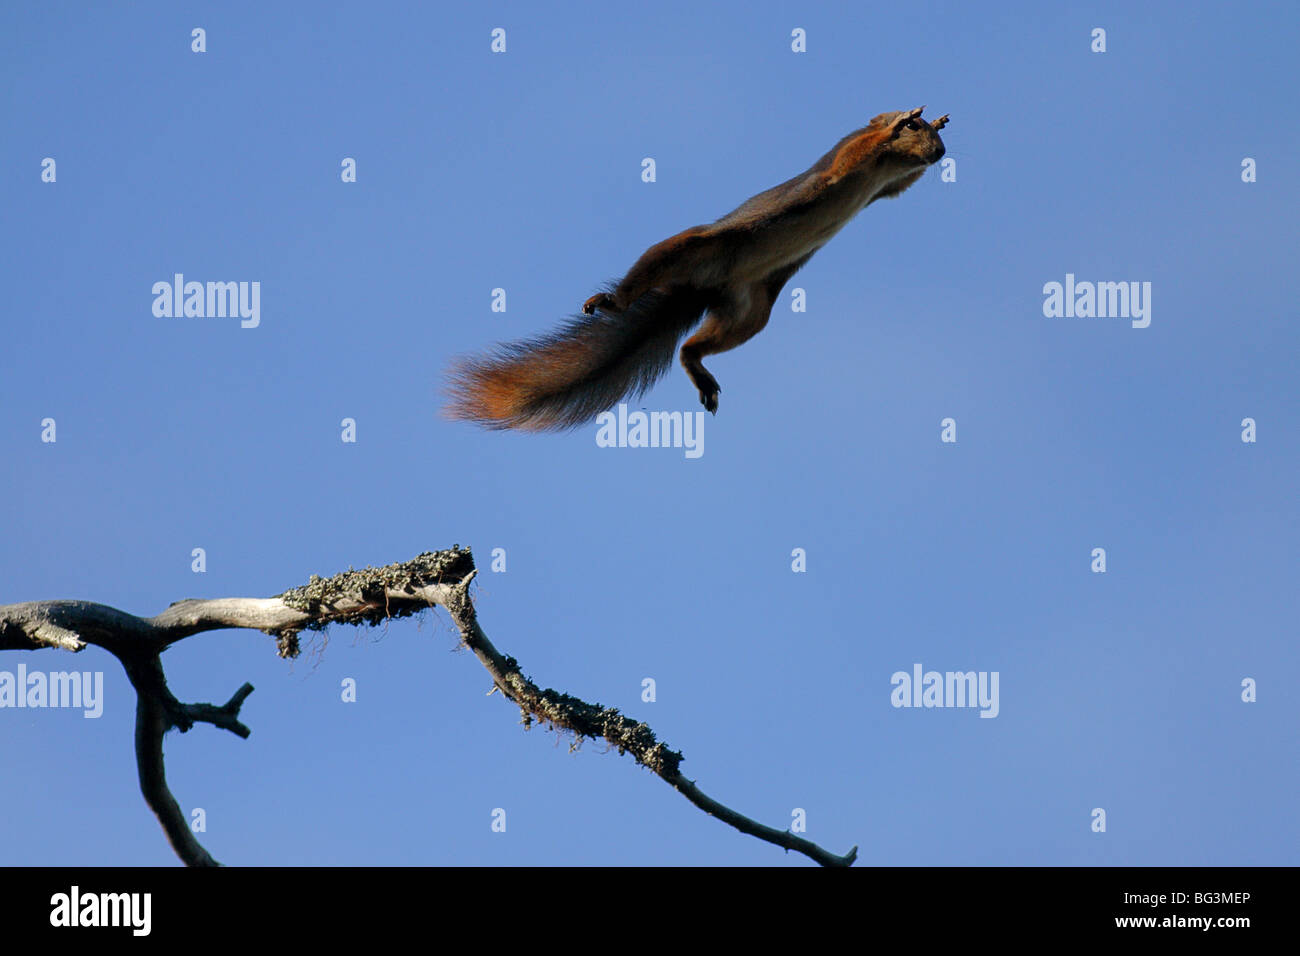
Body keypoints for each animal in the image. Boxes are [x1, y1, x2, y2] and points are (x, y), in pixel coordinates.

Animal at [444, 107, 946, 429]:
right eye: (916, 129)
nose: (940, 153)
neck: (887, 165)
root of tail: (704, 288)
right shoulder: (851, 158)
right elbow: (866, 141)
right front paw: (898, 117)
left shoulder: (891, 185)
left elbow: (902, 186)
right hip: (692, 249)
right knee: (654, 278)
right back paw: (615, 301)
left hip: (750, 312)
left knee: (693, 345)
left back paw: (700, 372)